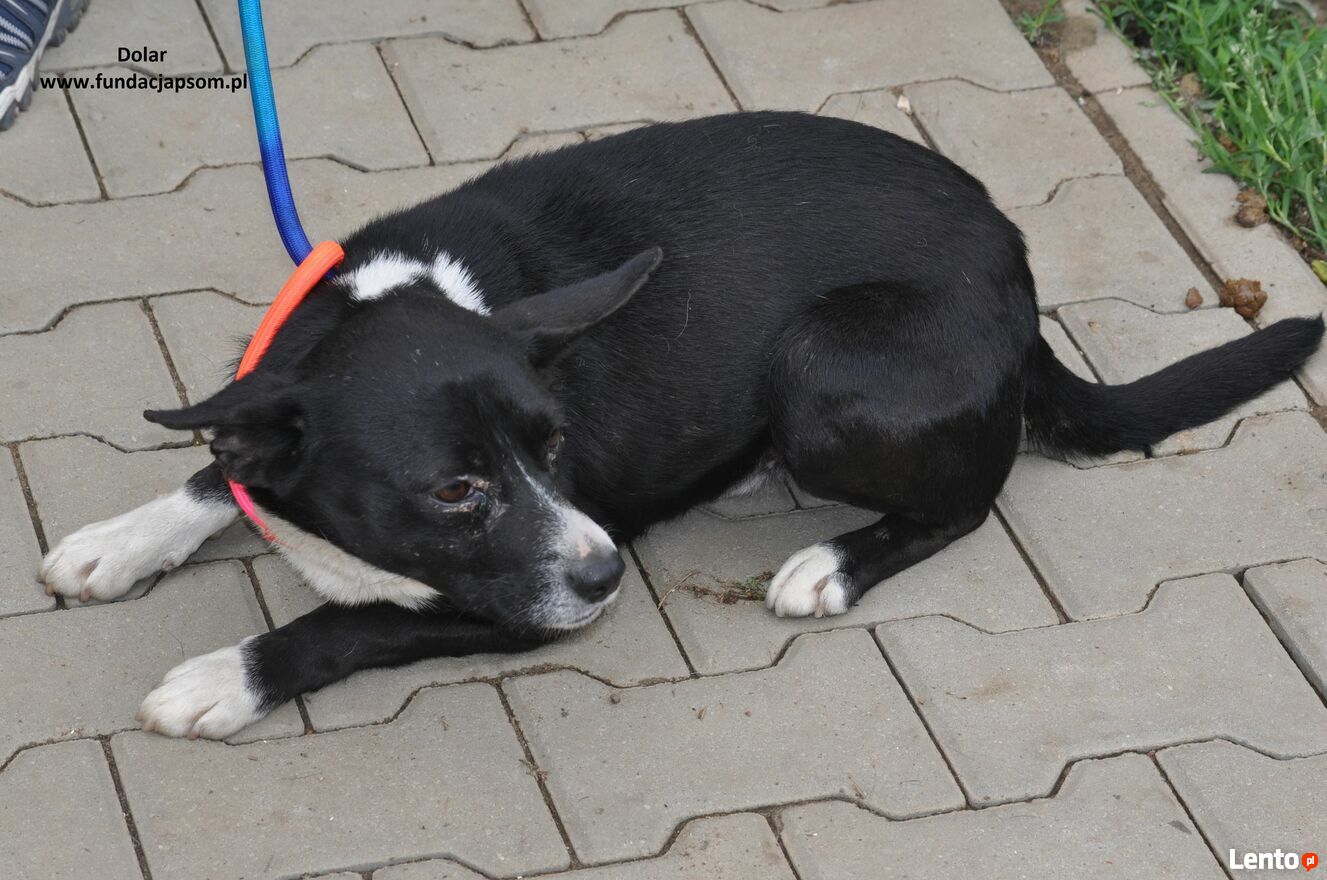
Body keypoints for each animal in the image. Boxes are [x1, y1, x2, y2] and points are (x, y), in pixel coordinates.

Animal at [37, 111, 1323, 740]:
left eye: (553, 446)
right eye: (456, 488)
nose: (610, 574)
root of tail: (1019, 275)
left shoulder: (510, 609)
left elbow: (340, 625)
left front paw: (224, 675)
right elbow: (214, 468)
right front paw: (122, 538)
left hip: (822, 373)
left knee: (971, 493)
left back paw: (831, 558)